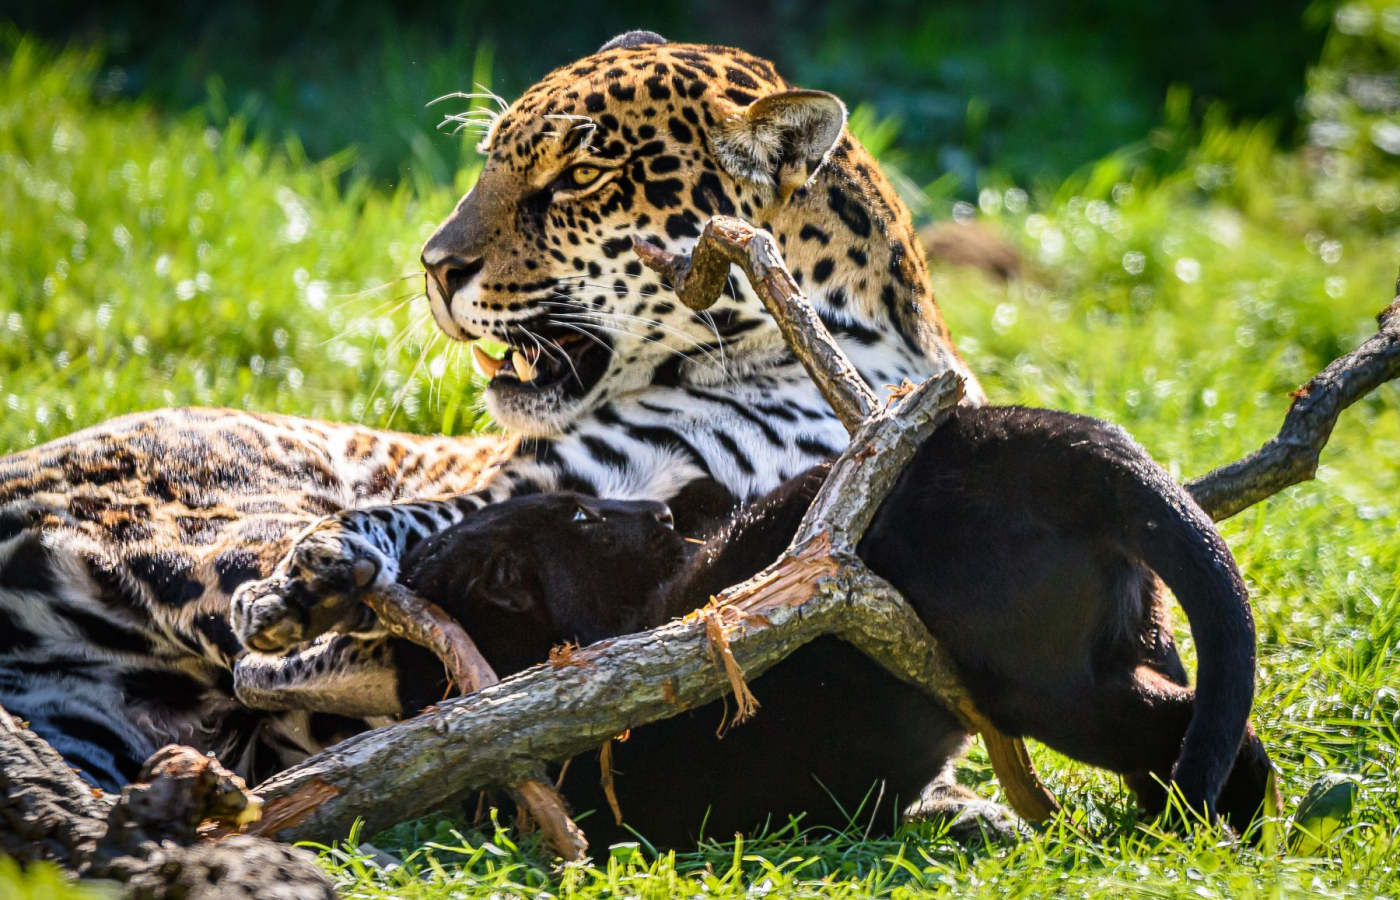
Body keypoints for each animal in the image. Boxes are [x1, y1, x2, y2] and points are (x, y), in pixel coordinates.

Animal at [0, 31, 981, 790]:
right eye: (490, 165)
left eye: (579, 175)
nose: (434, 265)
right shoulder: (537, 487)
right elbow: (416, 523)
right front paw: (307, 579)